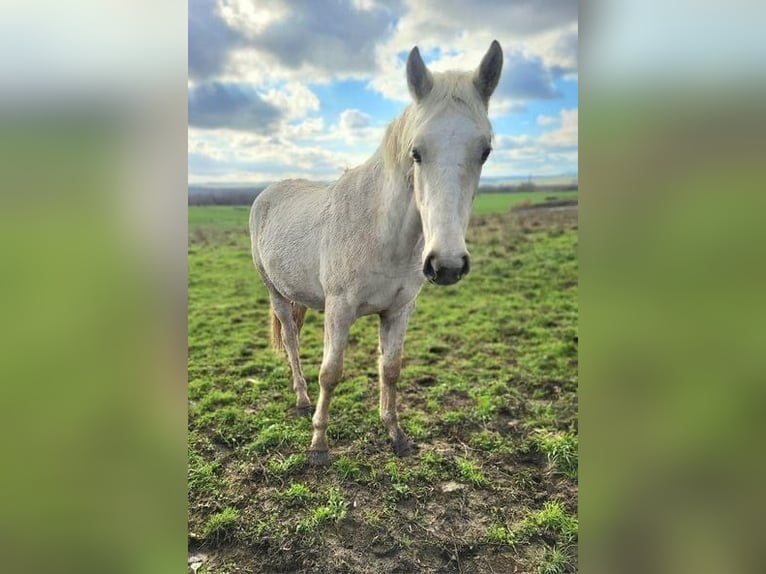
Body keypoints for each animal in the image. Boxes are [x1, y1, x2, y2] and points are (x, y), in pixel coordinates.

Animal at [250, 40, 504, 466]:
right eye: (416, 152)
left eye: (484, 151)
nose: (447, 264)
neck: (382, 235)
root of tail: (268, 192)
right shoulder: (339, 310)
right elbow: (330, 372)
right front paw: (319, 445)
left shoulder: (398, 310)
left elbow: (390, 369)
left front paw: (396, 434)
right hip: (275, 292)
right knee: (291, 340)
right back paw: (301, 399)